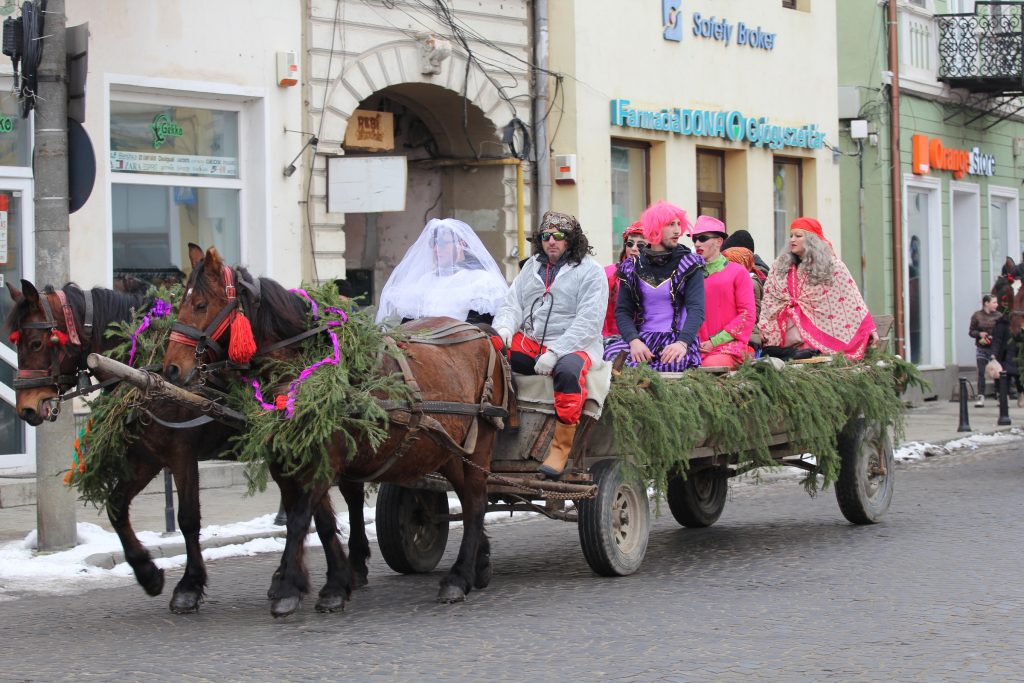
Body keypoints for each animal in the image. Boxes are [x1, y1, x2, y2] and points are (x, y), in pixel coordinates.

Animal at [164, 246, 512, 618]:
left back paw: (458, 578)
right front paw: (334, 582)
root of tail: (482, 333)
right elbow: (321, 522)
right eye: (180, 302)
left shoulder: (325, 460)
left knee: (475, 501)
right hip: (447, 450)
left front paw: (290, 588)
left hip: (480, 444)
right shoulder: (286, 463)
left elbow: (300, 518)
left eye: (201, 304)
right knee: (468, 498)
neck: (306, 368)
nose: (171, 368)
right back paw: (479, 564)